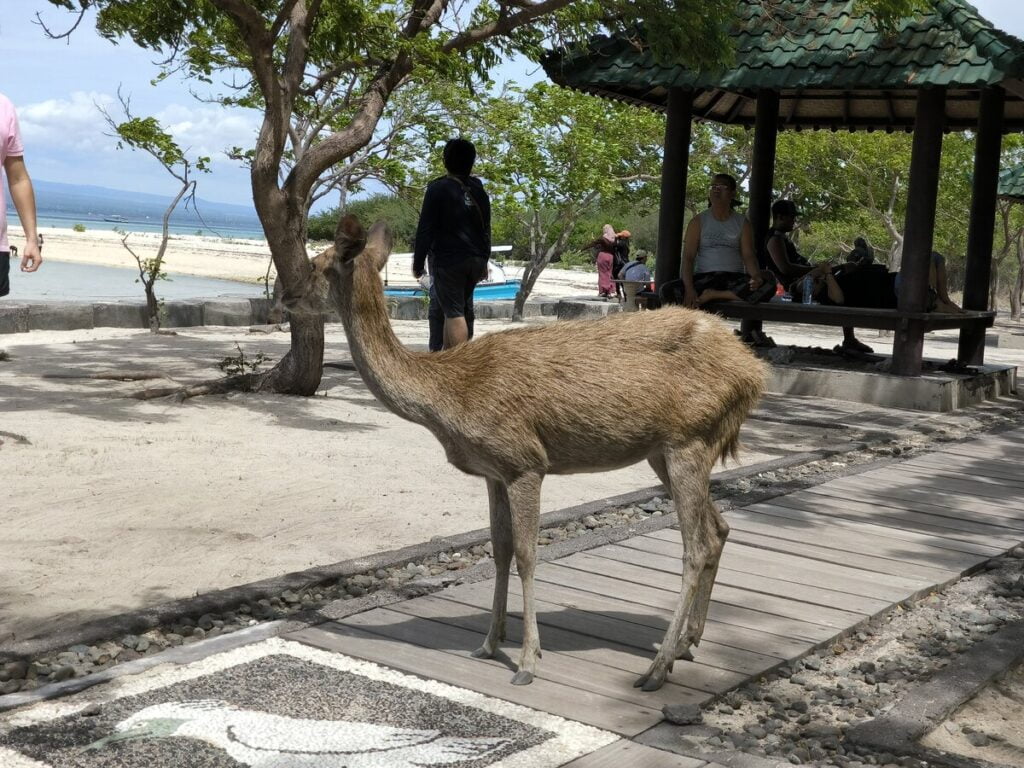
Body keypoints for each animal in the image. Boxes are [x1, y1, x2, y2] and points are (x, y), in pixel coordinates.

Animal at [296, 215, 770, 692]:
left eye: (314, 264)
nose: (284, 298)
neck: (450, 397)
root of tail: (754, 375)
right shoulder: (493, 471)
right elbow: (500, 548)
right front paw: (489, 643)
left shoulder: (525, 461)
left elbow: (527, 554)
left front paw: (527, 662)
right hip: (667, 450)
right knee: (720, 528)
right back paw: (689, 641)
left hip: (689, 439)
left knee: (697, 544)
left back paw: (658, 668)